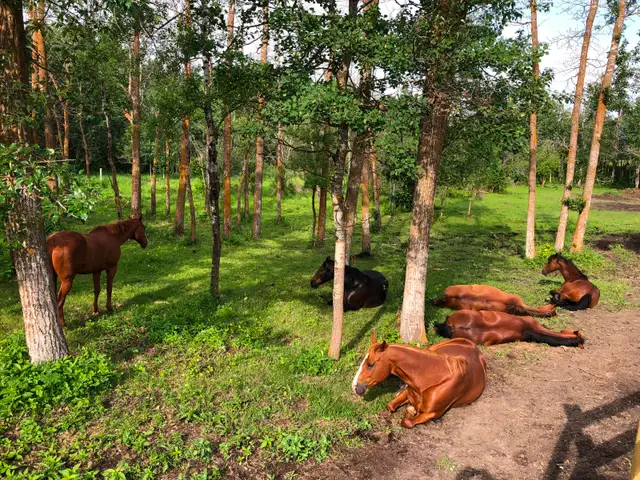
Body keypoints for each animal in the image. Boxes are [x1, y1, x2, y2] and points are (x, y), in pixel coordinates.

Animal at [352, 332, 486, 428]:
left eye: (370, 364)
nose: (355, 387)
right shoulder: (407, 392)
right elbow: (390, 406)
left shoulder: (433, 413)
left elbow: (407, 422)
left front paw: (411, 410)